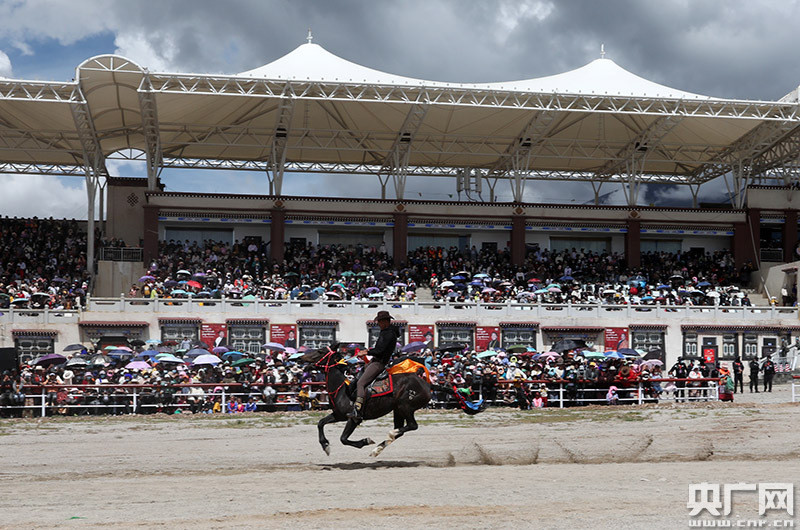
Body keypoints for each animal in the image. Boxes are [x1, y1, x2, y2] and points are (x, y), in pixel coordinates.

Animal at [302, 344, 484, 456]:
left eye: (320, 351)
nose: (301, 359)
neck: (343, 389)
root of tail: (427, 384)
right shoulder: (339, 415)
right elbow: (320, 423)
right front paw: (325, 445)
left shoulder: (353, 418)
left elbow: (344, 439)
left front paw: (365, 441)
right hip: (398, 410)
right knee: (402, 429)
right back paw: (378, 448)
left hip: (405, 407)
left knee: (411, 426)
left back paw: (388, 436)